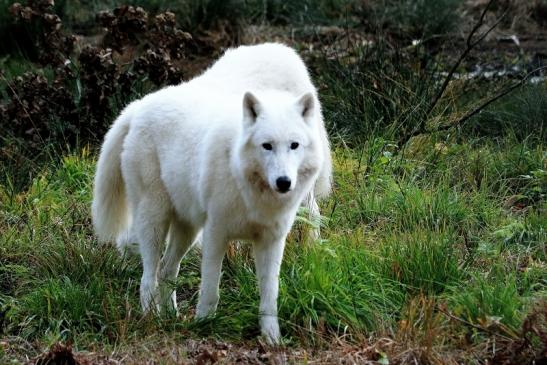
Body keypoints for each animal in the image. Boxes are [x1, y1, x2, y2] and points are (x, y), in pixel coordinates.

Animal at [92, 42, 332, 342]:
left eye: (294, 145)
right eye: (266, 146)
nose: (283, 182)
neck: (251, 190)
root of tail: (137, 108)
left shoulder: (271, 241)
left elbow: (269, 296)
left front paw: (272, 339)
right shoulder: (216, 233)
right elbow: (210, 289)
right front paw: (204, 325)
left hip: (186, 228)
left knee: (167, 269)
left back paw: (170, 317)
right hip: (156, 220)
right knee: (149, 278)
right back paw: (151, 320)